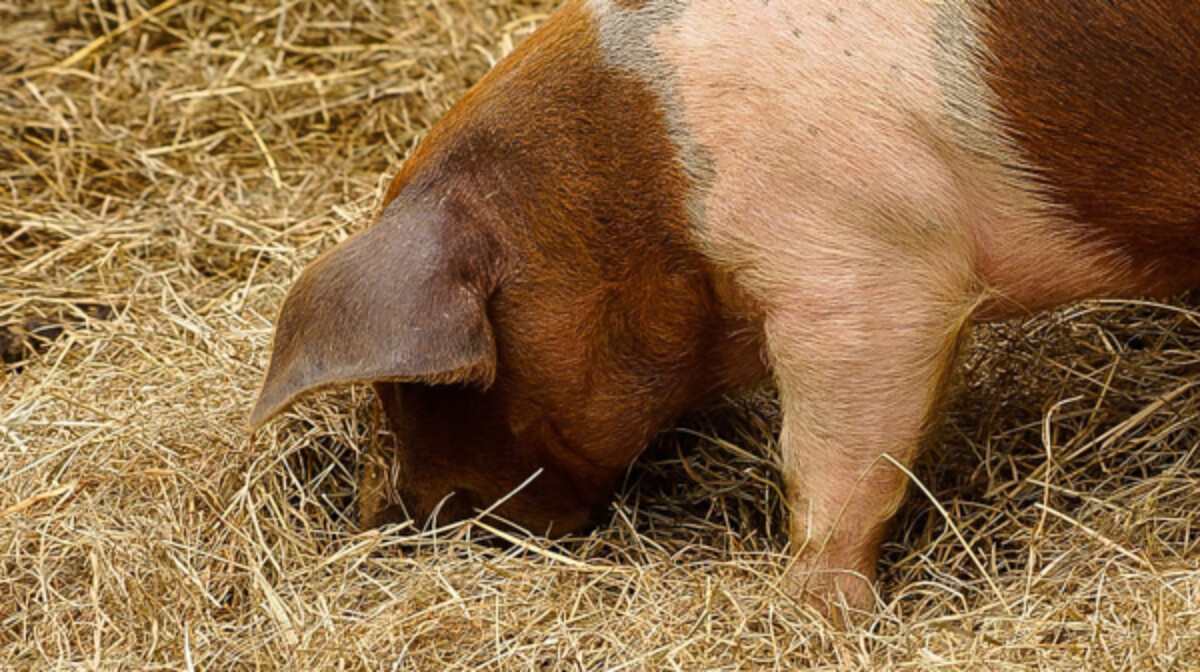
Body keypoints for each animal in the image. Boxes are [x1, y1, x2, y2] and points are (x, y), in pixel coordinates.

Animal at [250, 0, 1200, 615]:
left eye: (416, 393)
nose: (392, 522)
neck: (627, 197)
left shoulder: (863, 272)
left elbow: (834, 470)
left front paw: (821, 619)